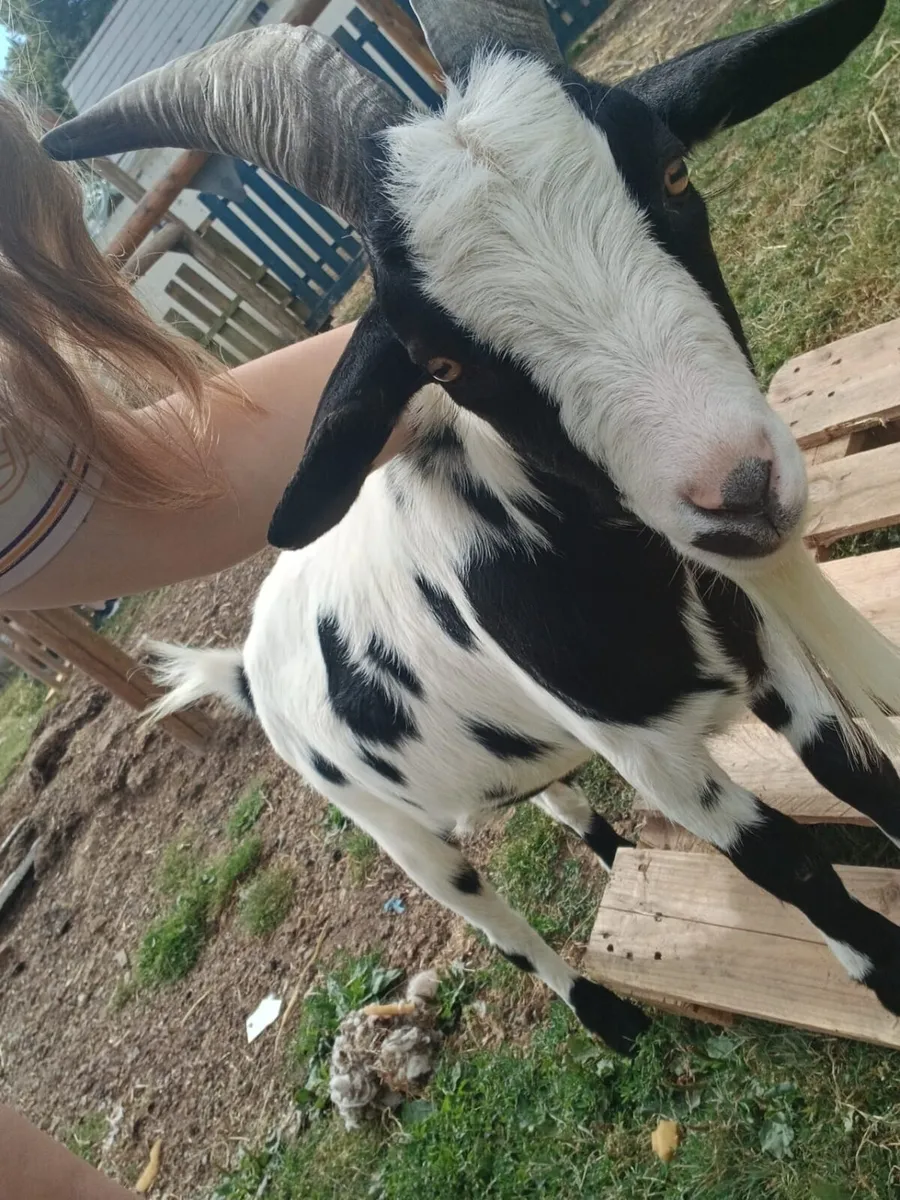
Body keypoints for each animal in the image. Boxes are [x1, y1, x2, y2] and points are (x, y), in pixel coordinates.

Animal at [45, 0, 900, 1055]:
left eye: (672, 172)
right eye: (440, 362)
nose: (739, 491)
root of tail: (243, 664)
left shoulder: (768, 653)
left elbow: (848, 766)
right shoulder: (650, 754)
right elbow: (786, 861)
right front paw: (885, 974)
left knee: (549, 799)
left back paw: (612, 851)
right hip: (390, 826)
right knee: (490, 919)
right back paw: (605, 1013)